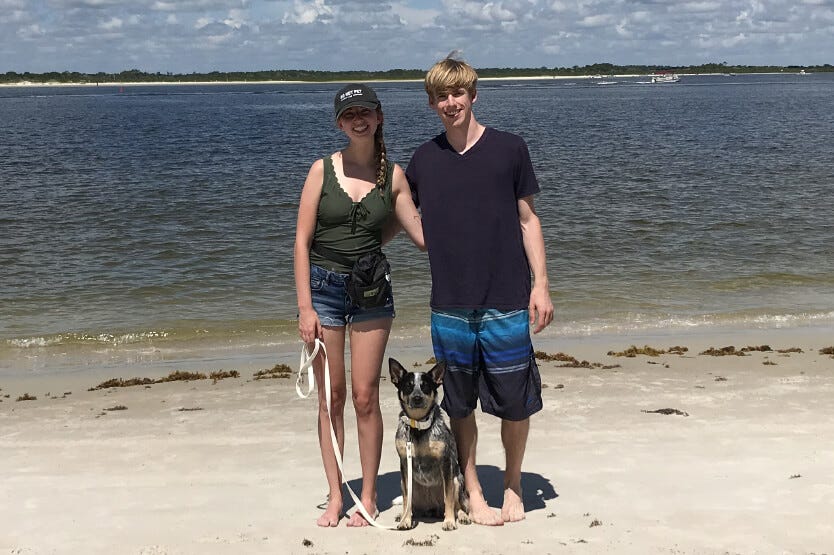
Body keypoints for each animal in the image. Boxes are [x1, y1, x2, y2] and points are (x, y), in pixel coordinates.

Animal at [388, 358, 468, 532]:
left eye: (425, 386)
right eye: (408, 386)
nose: (417, 398)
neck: (418, 427)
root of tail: (432, 509)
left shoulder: (446, 463)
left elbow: (449, 498)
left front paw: (449, 521)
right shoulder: (404, 463)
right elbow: (406, 498)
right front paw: (405, 520)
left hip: (457, 480)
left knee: (458, 505)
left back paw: (462, 516)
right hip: (406, 483)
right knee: (411, 504)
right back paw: (403, 515)